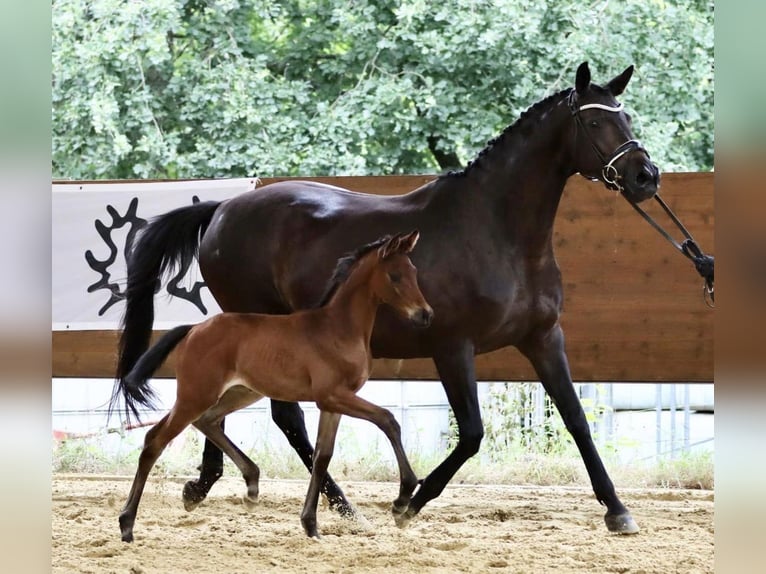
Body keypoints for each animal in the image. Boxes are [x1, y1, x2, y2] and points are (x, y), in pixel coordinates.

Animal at [115, 232, 438, 544]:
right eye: (394, 276)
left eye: (413, 271)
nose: (425, 315)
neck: (339, 329)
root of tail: (193, 329)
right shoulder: (333, 395)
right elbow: (388, 420)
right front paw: (402, 499)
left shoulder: (332, 404)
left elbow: (322, 457)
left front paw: (310, 524)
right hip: (196, 394)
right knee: (156, 440)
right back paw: (127, 524)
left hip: (240, 392)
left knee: (205, 422)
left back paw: (252, 486)